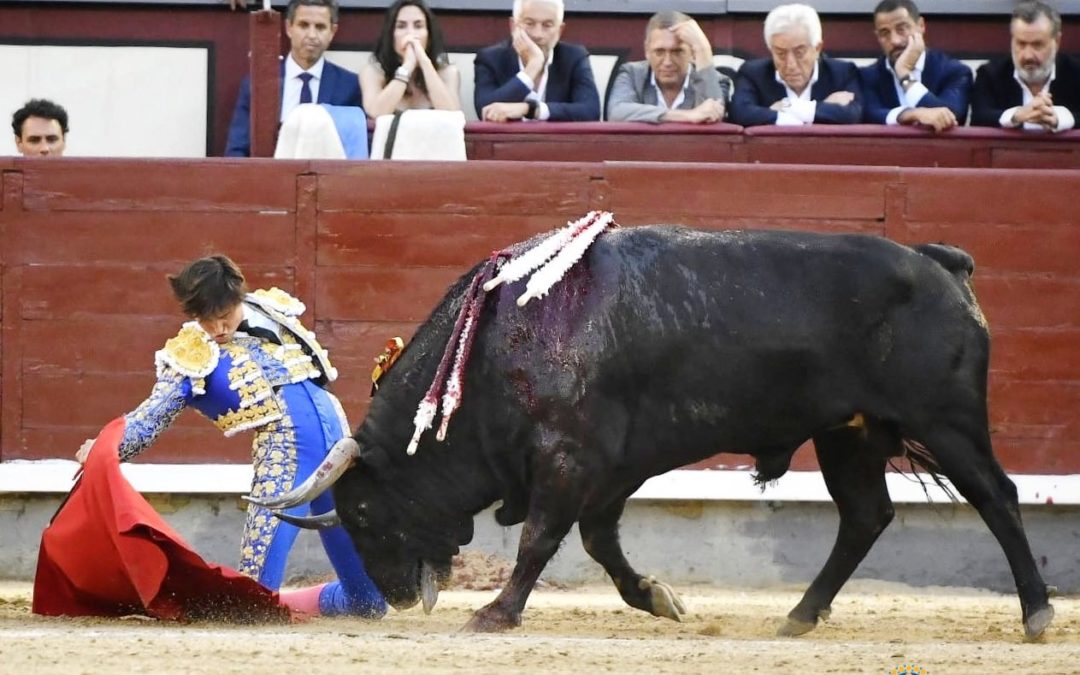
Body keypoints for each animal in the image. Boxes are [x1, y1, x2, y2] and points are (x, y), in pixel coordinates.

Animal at [302, 224, 1054, 635]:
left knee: (997, 496)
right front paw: (659, 598)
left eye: (361, 511)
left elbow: (541, 538)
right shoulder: (610, 469)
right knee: (865, 515)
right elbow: (599, 542)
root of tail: (941, 263)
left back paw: (1037, 614)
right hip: (852, 435)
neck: (497, 336)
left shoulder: (567, 458)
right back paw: (798, 616)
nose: (396, 598)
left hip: (946, 421)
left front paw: (494, 612)